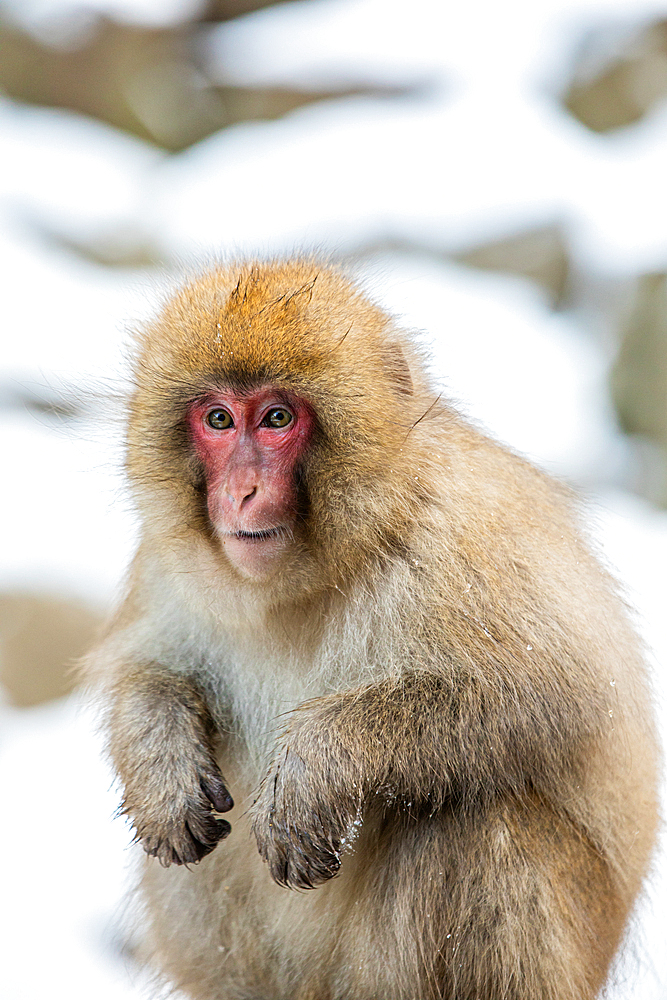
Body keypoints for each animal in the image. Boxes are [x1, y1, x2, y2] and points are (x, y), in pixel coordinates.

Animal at [91, 262, 660, 1000]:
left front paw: (314, 764)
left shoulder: (460, 532)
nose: (241, 492)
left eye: (277, 418)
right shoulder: (168, 563)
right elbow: (148, 670)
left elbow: (557, 693)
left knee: (483, 822)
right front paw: (160, 757)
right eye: (217, 419)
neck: (308, 575)